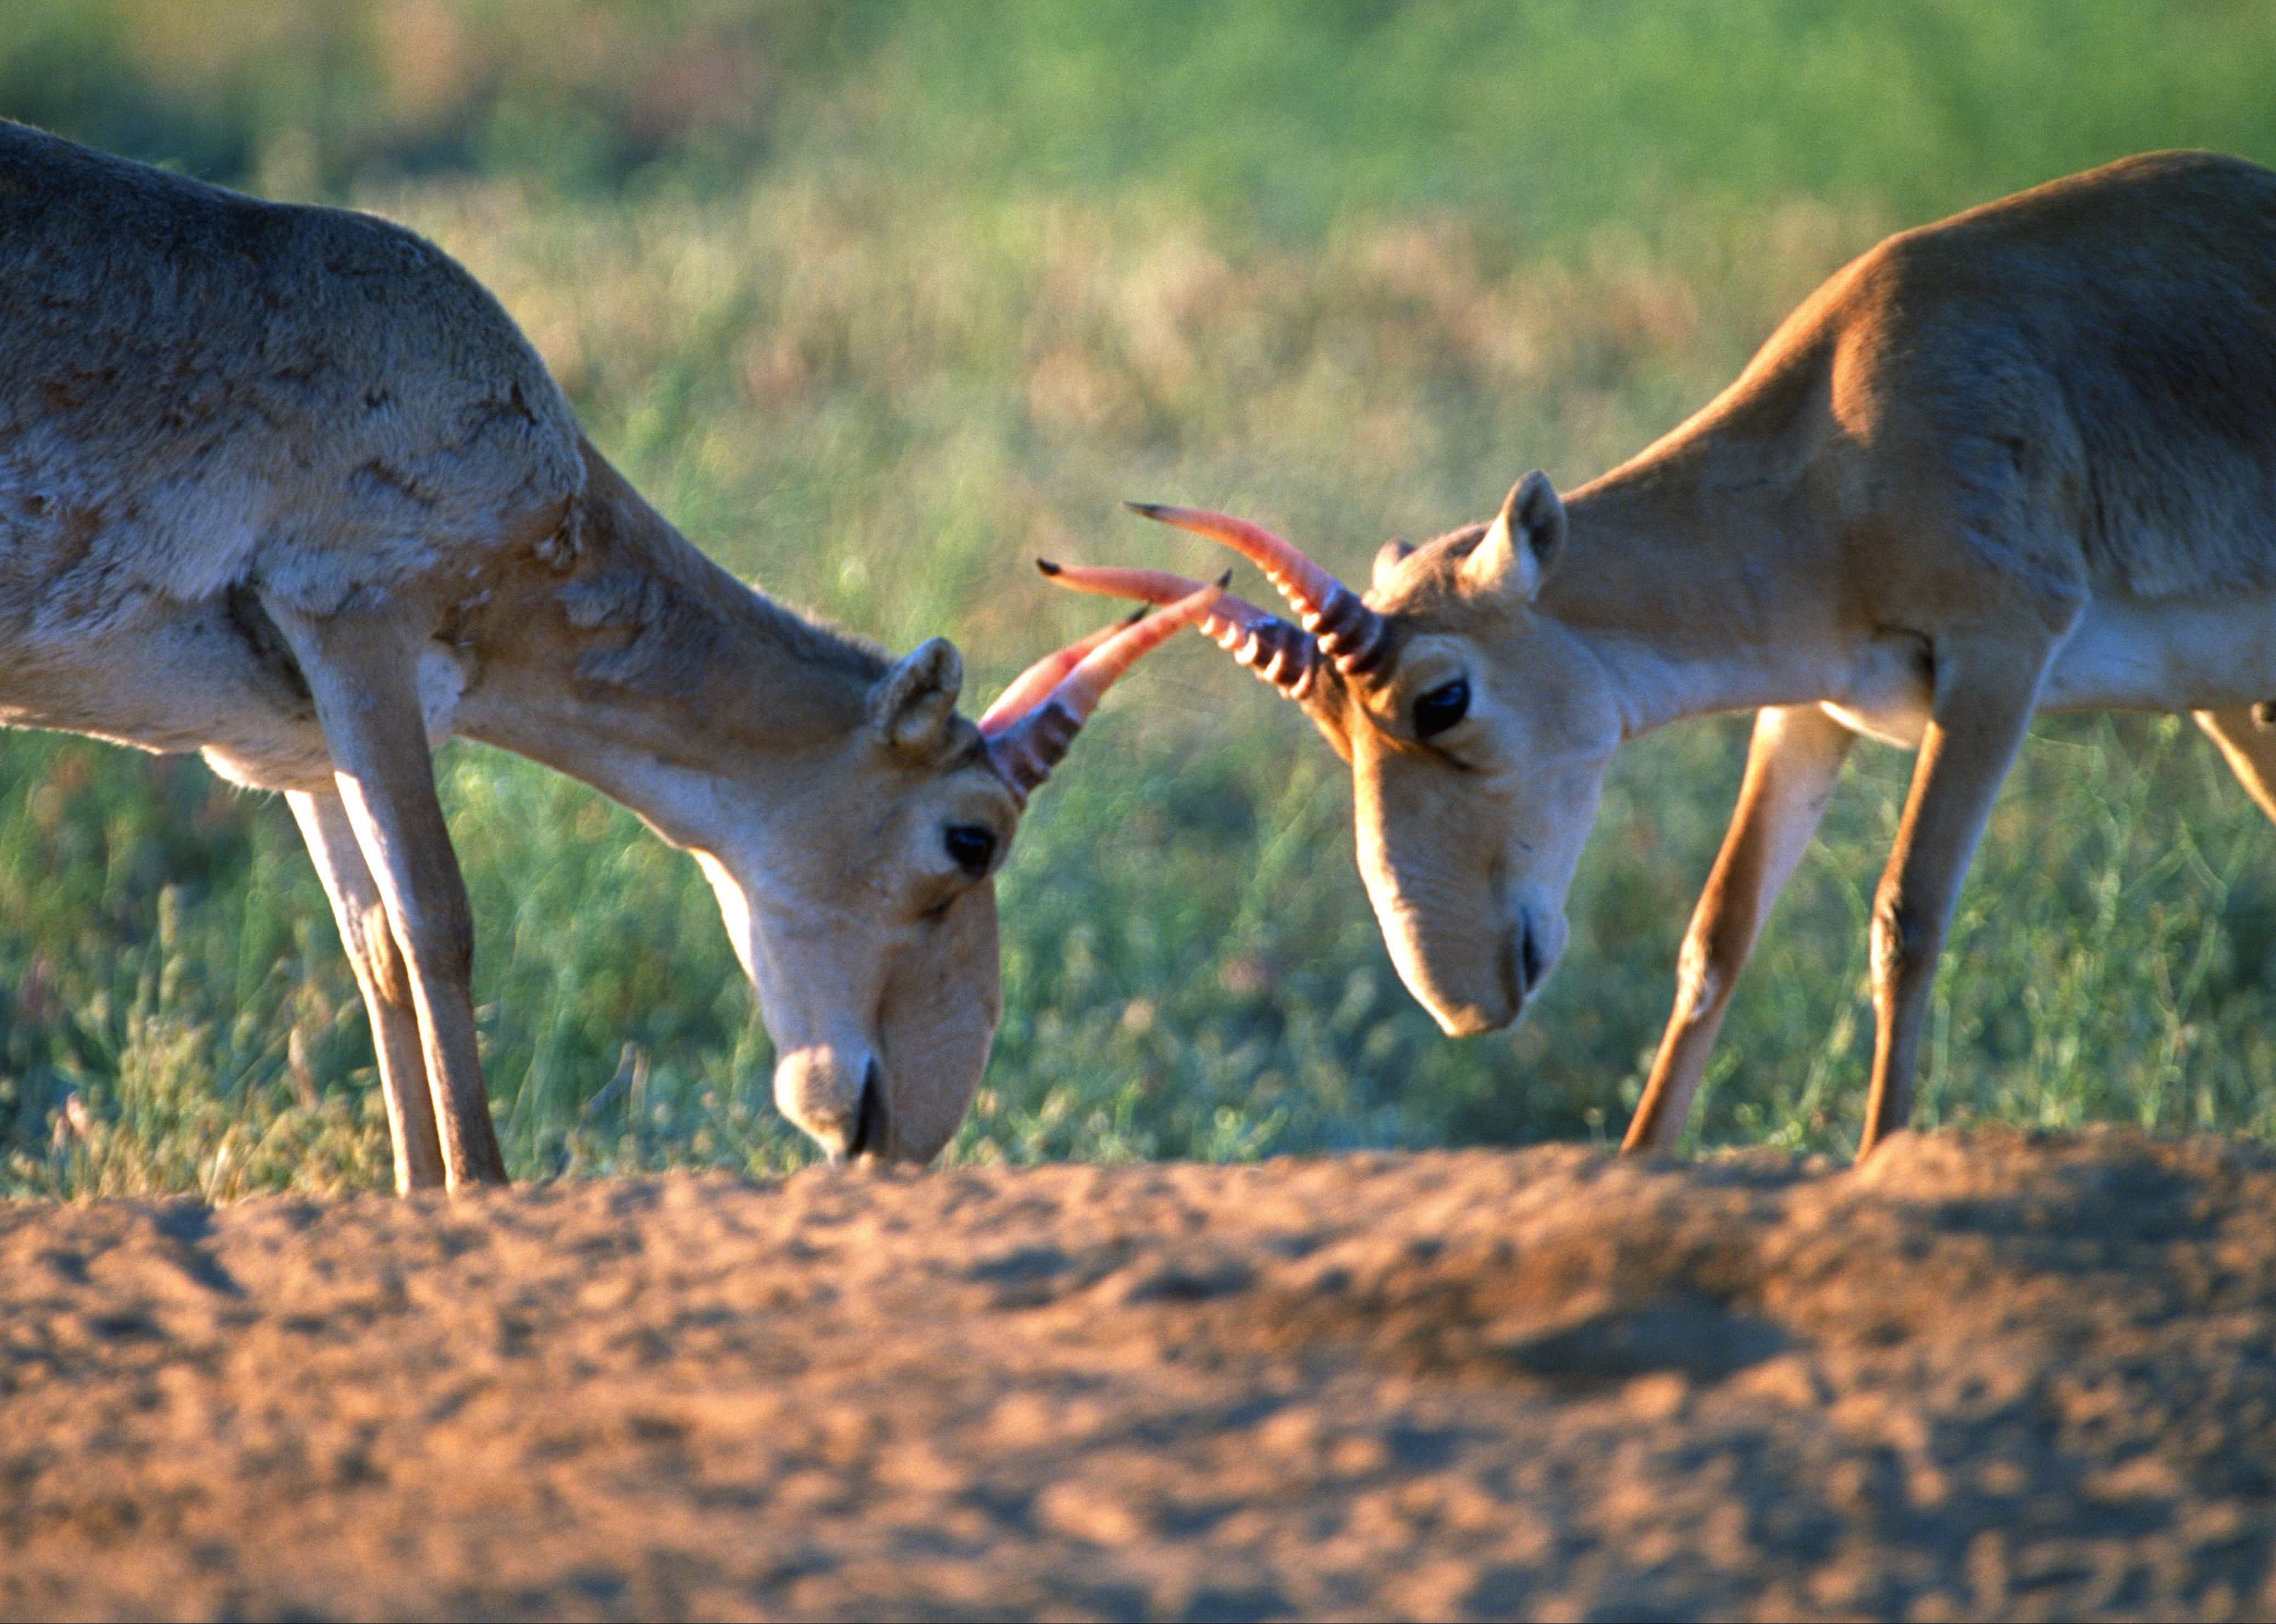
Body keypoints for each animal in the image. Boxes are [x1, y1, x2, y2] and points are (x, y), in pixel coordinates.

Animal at [4, 120, 1229, 1193]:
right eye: (972, 837)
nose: (914, 1130)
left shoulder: (297, 744)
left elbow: (374, 952)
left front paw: (412, 1193)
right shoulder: (355, 623)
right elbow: (438, 921)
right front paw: (481, 1189)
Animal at [1056, 155, 2276, 1152]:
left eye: (1441, 697)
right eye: (1330, 727)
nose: (1462, 1000)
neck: (1843, 424)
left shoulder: (1998, 656)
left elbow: (1906, 918)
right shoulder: (1808, 707)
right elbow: (1715, 936)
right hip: (2229, 703)